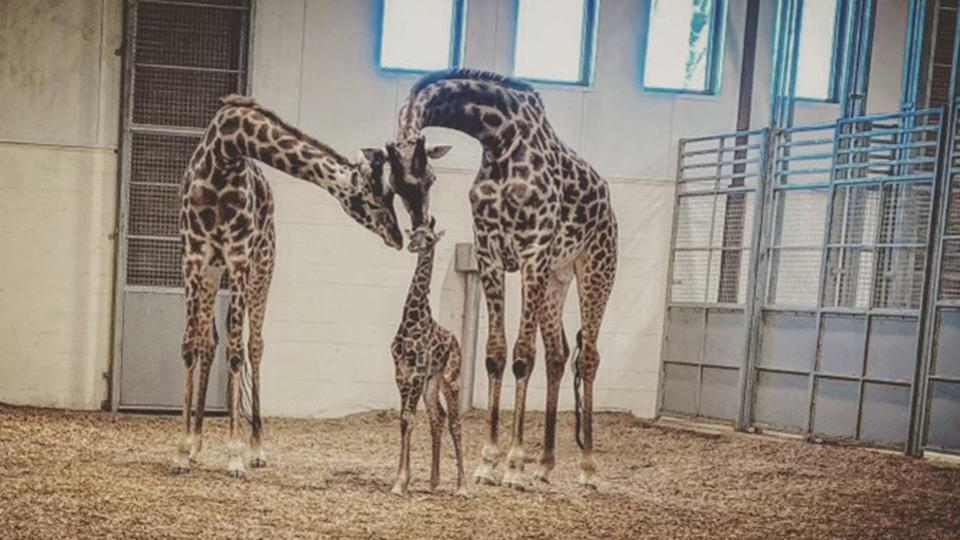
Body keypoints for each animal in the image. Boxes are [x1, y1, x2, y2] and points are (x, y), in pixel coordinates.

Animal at [175, 96, 402, 476]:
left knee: (254, 345)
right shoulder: (193, 257)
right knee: (209, 341)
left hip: (263, 264)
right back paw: (195, 444)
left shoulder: (239, 257)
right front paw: (180, 452)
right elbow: (191, 346)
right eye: (372, 198)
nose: (398, 238)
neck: (224, 152)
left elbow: (236, 351)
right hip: (213, 272)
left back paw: (255, 448)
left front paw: (235, 456)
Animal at [390, 217, 464, 496]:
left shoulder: (417, 373)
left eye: (430, 238)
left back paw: (463, 486)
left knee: (455, 422)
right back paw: (434, 482)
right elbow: (404, 419)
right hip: (432, 383)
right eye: (415, 234)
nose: (412, 246)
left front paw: (401, 482)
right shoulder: (401, 373)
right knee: (437, 417)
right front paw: (402, 480)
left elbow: (409, 419)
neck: (412, 321)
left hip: (450, 379)